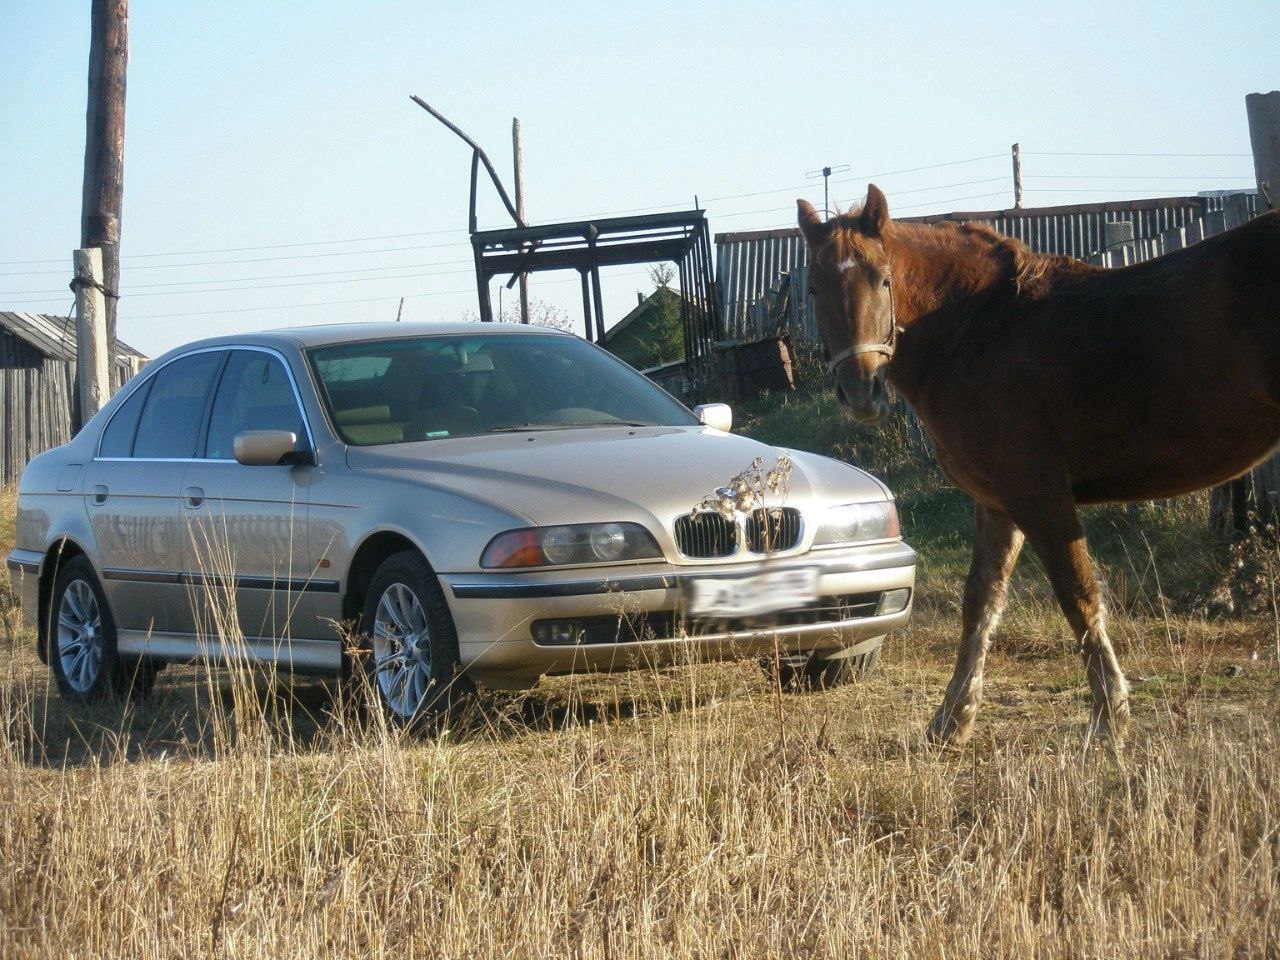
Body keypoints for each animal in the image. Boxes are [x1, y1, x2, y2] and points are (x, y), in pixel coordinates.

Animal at [798, 185, 1280, 742]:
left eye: (883, 278)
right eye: (814, 290)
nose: (861, 391)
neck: (978, 327)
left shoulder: (1039, 494)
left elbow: (1078, 595)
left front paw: (1110, 715)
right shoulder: (997, 503)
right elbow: (980, 602)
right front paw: (953, 719)